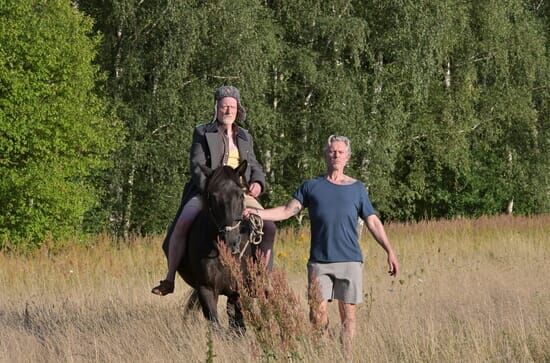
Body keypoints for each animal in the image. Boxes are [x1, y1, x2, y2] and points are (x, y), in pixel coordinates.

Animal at [164, 161, 264, 332]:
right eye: (213, 196)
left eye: (241, 195)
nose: (231, 241)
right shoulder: (206, 289)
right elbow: (215, 325)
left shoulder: (237, 290)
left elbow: (238, 325)